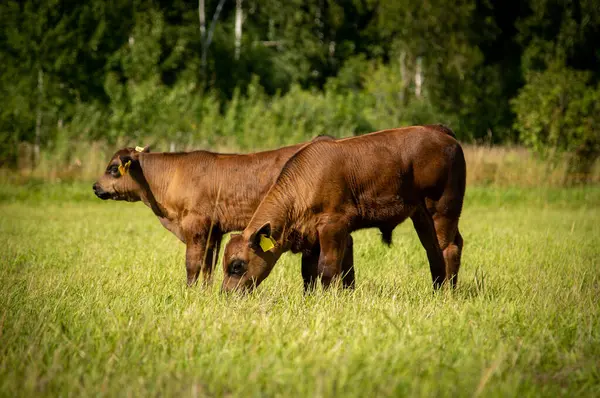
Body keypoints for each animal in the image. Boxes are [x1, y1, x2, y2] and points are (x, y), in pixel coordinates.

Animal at [90, 138, 352, 288]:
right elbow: (208, 266)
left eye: (113, 168)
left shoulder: (196, 226)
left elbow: (193, 265)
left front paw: (190, 292)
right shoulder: (213, 232)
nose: (95, 186)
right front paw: (204, 292)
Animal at [223, 124, 466, 292]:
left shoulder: (333, 227)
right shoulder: (315, 237)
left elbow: (327, 269)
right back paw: (437, 290)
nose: (226, 294)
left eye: (237, 265)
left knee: (448, 248)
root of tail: (438, 130)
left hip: (442, 211)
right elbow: (316, 273)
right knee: (433, 250)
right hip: (421, 216)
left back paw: (446, 294)